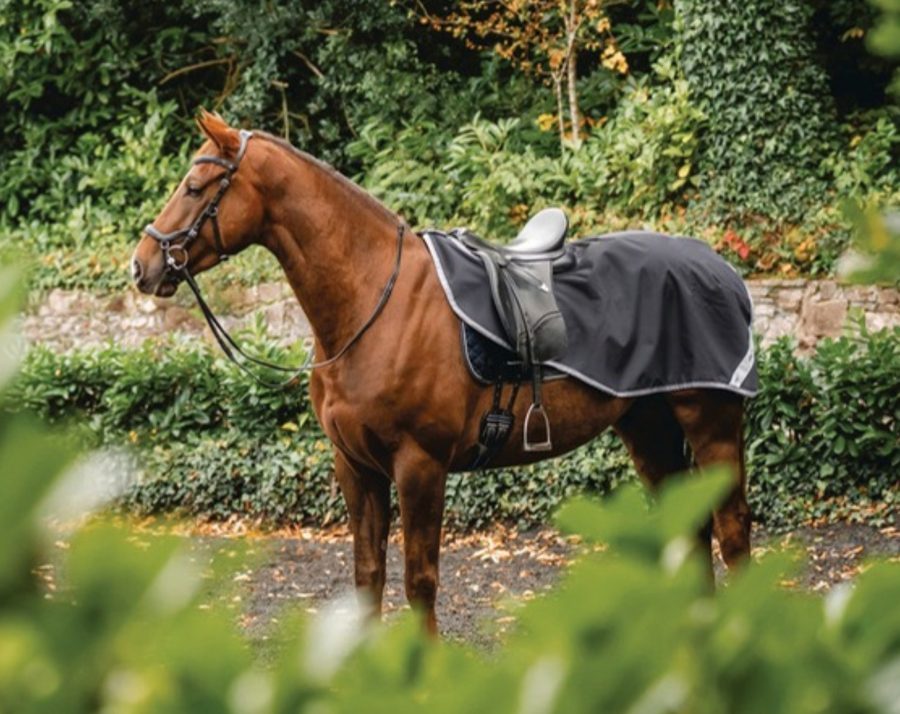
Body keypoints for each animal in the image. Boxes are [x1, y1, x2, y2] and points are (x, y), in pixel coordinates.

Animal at [131, 110, 751, 634]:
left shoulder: (419, 466)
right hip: (647, 424)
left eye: (194, 188)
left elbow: (420, 582)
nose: (143, 265)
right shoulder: (355, 467)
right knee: (692, 528)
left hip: (712, 422)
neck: (373, 304)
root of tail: (720, 269)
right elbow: (368, 575)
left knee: (732, 531)